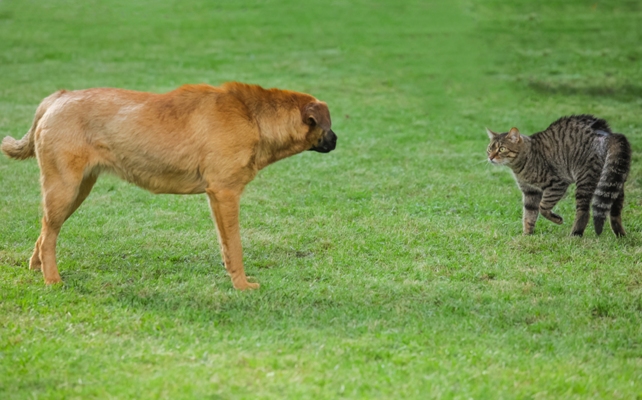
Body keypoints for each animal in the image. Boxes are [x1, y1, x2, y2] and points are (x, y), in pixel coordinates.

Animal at [0, 81, 338, 290]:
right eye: (329, 125)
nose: (337, 141)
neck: (252, 118)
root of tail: (57, 97)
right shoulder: (225, 193)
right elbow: (236, 246)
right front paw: (242, 285)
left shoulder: (218, 198)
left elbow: (226, 246)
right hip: (65, 189)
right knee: (49, 235)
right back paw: (53, 280)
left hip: (76, 190)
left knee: (45, 231)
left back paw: (38, 268)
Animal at [484, 114, 632, 236]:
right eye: (490, 149)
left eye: (501, 149)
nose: (490, 157)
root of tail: (608, 134)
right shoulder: (530, 191)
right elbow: (529, 215)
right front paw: (526, 235)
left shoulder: (556, 184)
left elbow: (543, 207)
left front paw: (557, 219)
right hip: (613, 182)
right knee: (615, 212)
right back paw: (620, 235)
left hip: (585, 181)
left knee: (584, 212)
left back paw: (575, 234)